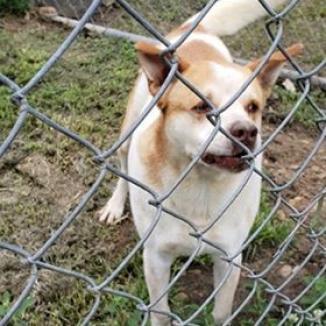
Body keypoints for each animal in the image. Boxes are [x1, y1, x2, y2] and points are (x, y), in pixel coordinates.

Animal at [98, 0, 304, 324]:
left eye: (253, 107)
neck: (201, 184)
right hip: (127, 133)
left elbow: (221, 311)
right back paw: (115, 205)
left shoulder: (229, 256)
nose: (247, 132)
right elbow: (161, 312)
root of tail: (196, 31)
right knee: (121, 170)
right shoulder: (155, 258)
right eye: (202, 107)